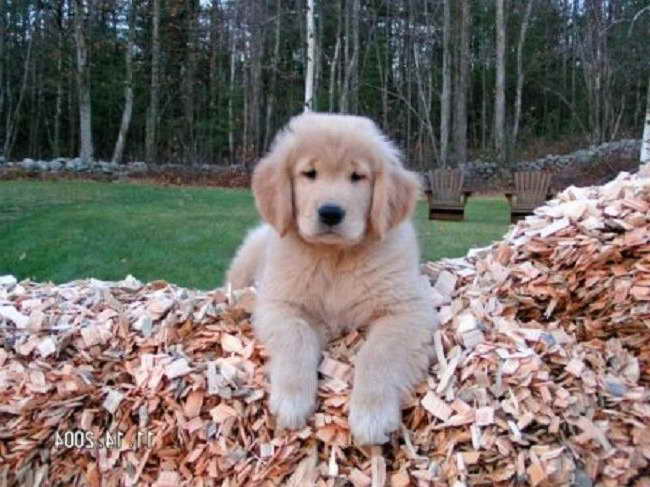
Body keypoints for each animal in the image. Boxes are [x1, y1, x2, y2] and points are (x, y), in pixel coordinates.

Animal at [225, 111, 438, 446]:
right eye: (309, 173)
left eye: (357, 176)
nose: (330, 213)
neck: (334, 257)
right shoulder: (280, 304)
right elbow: (296, 337)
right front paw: (292, 401)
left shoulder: (407, 310)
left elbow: (378, 353)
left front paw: (371, 415)